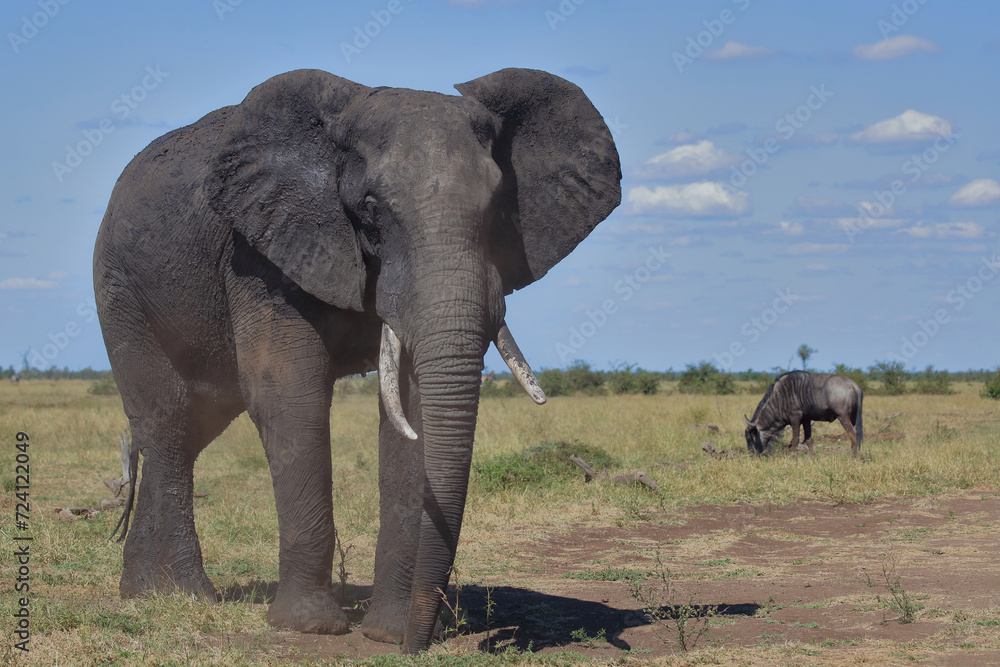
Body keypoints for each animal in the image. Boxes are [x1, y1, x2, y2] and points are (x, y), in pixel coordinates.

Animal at [93, 68, 621, 653]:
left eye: (497, 207)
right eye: (370, 209)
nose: (420, 644)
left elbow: (412, 411)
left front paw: (386, 632)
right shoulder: (259, 251)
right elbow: (286, 392)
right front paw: (309, 626)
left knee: (193, 426)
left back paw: (143, 592)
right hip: (120, 290)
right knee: (166, 423)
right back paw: (185, 595)